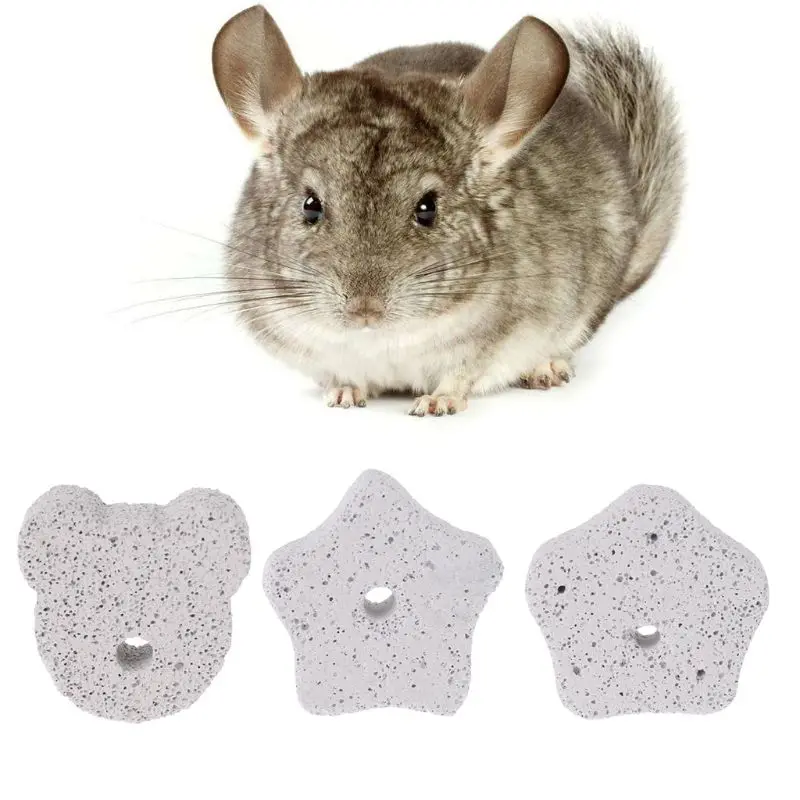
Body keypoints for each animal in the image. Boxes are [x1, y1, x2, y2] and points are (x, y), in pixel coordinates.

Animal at [212, 5, 683, 415]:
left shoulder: (496, 336)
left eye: (427, 209)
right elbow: (340, 375)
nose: (365, 309)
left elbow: (461, 375)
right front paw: (344, 395)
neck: (378, 339)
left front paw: (437, 404)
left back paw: (546, 369)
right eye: (310, 205)